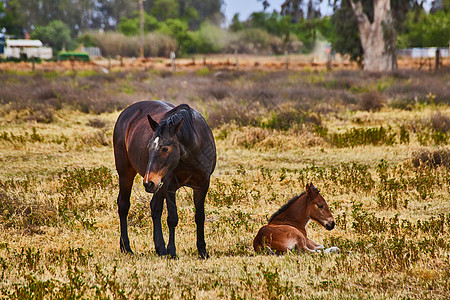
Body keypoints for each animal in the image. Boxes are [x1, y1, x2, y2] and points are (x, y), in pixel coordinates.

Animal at [114, 100, 216, 258]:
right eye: (149, 146)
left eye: (165, 148)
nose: (147, 182)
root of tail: (126, 113)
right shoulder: (170, 186)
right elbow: (172, 219)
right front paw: (172, 252)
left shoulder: (202, 185)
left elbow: (200, 217)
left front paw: (202, 251)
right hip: (127, 174)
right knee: (123, 206)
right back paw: (126, 247)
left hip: (157, 185)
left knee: (155, 208)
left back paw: (160, 248)